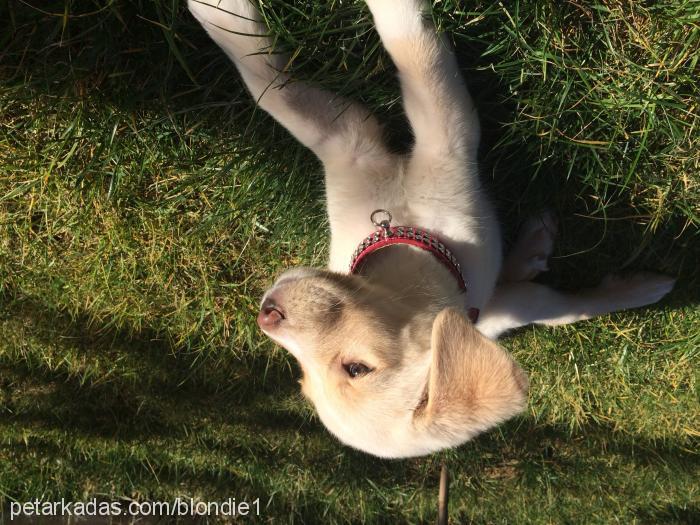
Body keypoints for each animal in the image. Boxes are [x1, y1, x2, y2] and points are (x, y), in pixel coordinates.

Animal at [189, 0, 676, 456]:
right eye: (305, 377)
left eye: (356, 369)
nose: (266, 313)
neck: (401, 233)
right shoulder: (356, 141)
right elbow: (269, 85)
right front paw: (223, 16)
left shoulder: (427, 136)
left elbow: (409, 47)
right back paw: (535, 246)